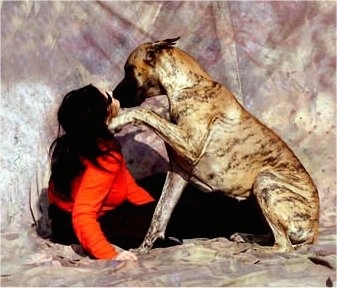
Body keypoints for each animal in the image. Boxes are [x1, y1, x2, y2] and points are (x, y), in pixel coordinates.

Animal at [109, 37, 318, 253]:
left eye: (129, 70)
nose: (114, 94)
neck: (187, 85)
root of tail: (314, 228)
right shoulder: (178, 171)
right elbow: (160, 213)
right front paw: (143, 249)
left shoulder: (189, 145)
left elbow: (146, 112)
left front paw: (117, 121)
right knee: (274, 237)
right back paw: (246, 237)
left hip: (265, 181)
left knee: (284, 245)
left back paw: (255, 248)